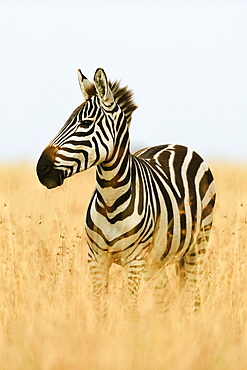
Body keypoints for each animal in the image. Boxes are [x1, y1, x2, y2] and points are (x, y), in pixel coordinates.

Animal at [35, 68, 215, 318]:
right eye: (66, 121)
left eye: (86, 123)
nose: (41, 168)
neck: (111, 199)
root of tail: (177, 145)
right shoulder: (96, 258)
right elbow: (100, 309)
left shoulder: (135, 260)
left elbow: (130, 311)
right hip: (157, 261)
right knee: (165, 297)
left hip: (197, 246)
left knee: (192, 296)